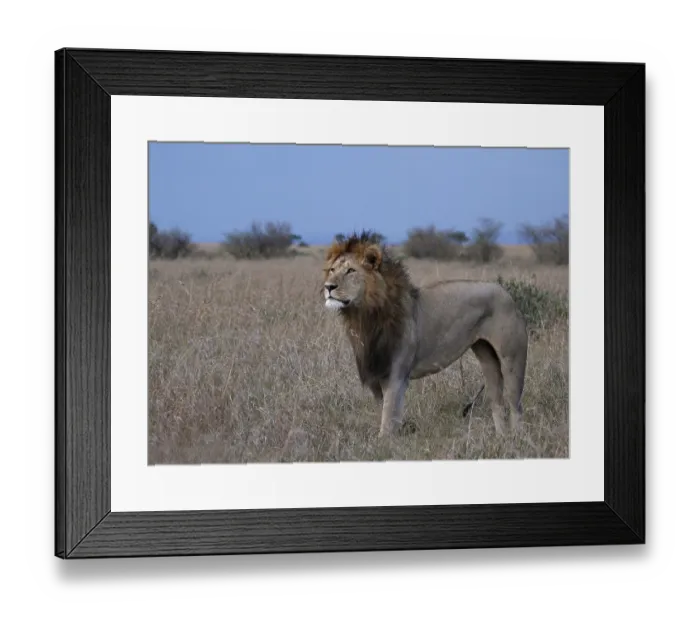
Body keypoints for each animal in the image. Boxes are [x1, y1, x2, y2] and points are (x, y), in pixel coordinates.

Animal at [322, 230, 528, 438]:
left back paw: (517, 439)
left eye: (350, 271)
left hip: (512, 359)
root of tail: (505, 291)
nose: (328, 287)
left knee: (515, 405)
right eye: (332, 270)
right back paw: (501, 438)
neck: (364, 316)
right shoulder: (375, 375)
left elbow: (388, 420)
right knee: (497, 403)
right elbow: (387, 415)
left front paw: (383, 443)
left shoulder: (396, 376)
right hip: (487, 357)